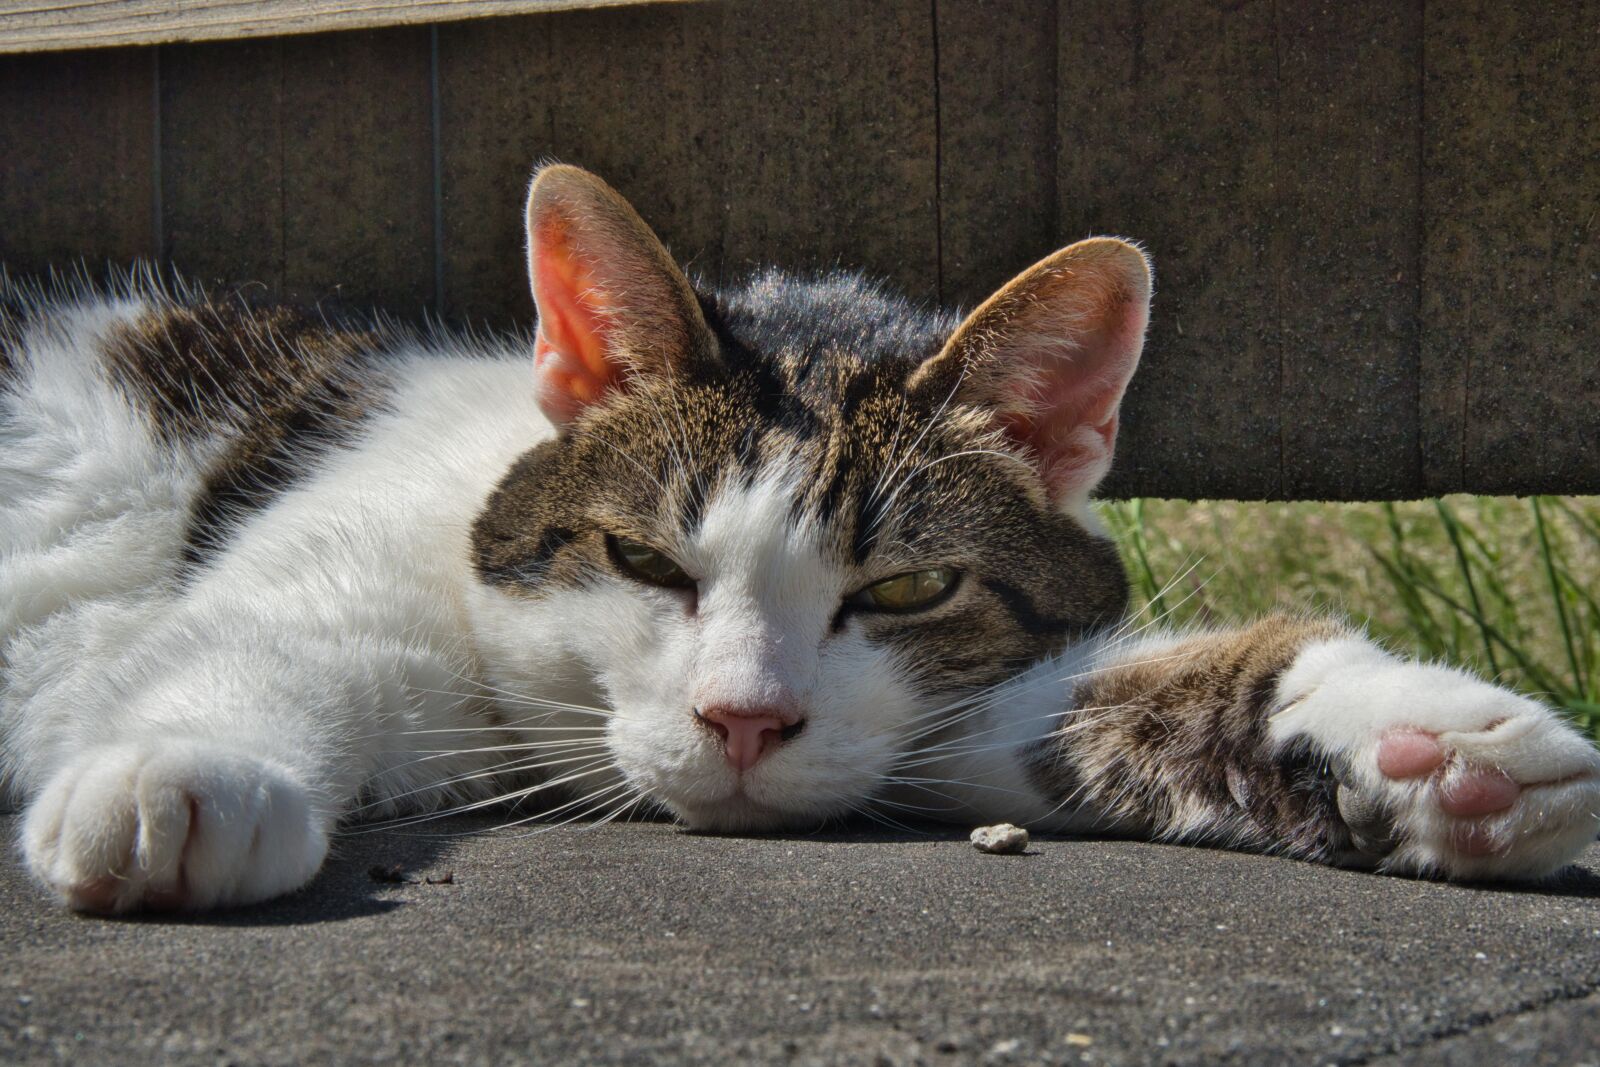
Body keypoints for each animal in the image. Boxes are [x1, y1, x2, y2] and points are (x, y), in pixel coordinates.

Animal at [3, 163, 1600, 915]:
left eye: (908, 587)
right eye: (646, 561)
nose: (745, 721)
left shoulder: (929, 715)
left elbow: (1087, 701)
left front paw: (1422, 749)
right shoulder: (332, 568)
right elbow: (247, 645)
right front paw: (180, 776)